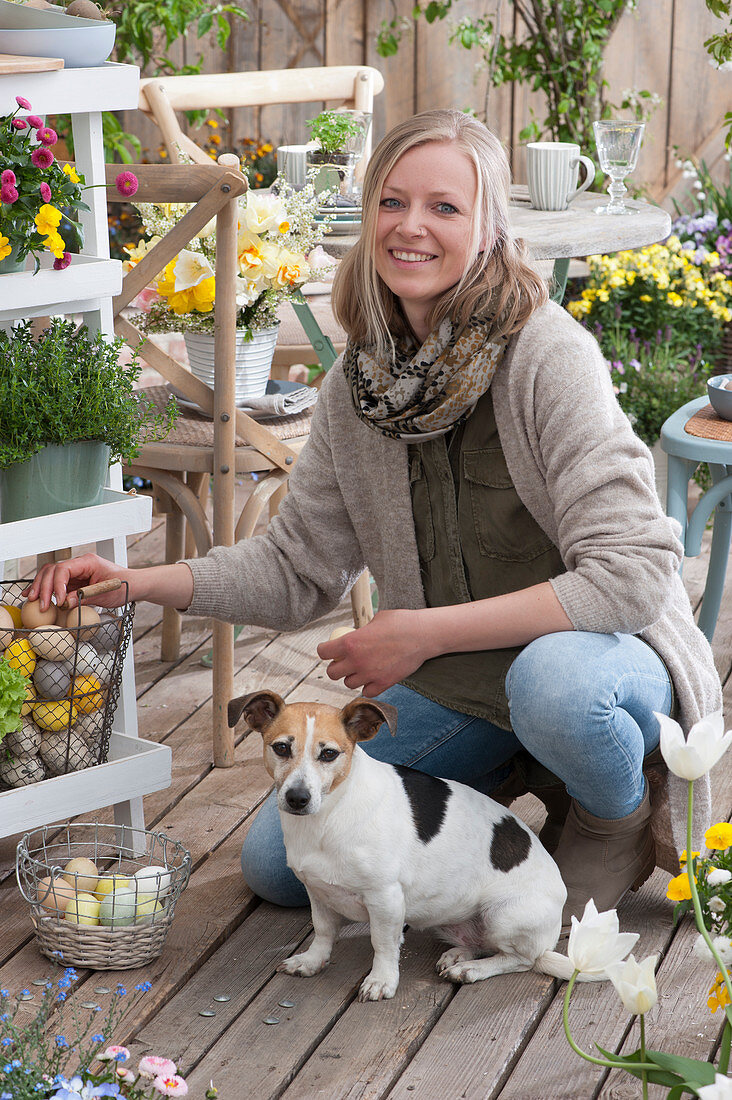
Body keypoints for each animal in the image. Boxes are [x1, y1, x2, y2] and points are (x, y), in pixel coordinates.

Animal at [231, 690, 590, 1003]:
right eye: (281, 748)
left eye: (329, 754)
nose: (297, 798)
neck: (329, 816)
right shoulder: (317, 890)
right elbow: (322, 930)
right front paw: (311, 961)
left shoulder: (385, 898)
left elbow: (383, 944)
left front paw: (381, 981)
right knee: (484, 944)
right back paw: (459, 955)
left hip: (505, 916)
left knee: (519, 959)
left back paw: (472, 969)